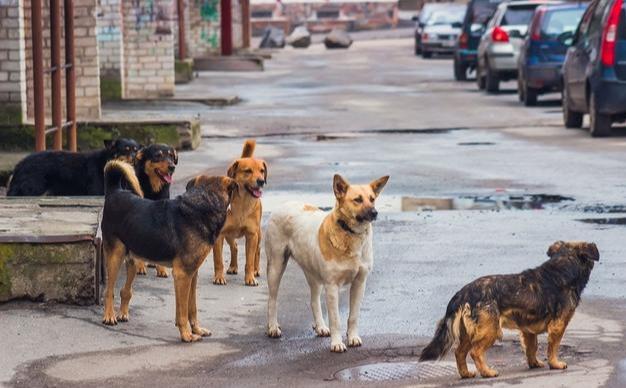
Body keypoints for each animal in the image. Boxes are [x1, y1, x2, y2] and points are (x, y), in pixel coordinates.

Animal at [7, 137, 139, 197]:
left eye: (135, 150)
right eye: (125, 150)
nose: (134, 159)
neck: (105, 161)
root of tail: (20, 165)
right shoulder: (96, 192)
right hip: (33, 189)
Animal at [100, 159, 236, 342]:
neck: (203, 204)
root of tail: (115, 191)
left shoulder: (192, 274)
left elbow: (191, 308)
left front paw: (197, 329)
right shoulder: (182, 275)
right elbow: (183, 312)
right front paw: (186, 335)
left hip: (133, 260)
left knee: (125, 290)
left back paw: (122, 313)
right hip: (115, 256)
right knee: (109, 291)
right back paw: (109, 316)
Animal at [132, 144, 178, 278]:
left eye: (171, 156)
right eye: (158, 155)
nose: (172, 167)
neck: (153, 189)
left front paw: (161, 269)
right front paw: (140, 266)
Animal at [212, 139, 266, 284]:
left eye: (262, 171)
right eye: (248, 171)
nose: (261, 181)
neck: (243, 203)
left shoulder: (252, 235)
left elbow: (249, 260)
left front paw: (250, 278)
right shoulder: (219, 235)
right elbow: (218, 260)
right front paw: (219, 277)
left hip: (258, 234)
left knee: (258, 251)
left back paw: (256, 270)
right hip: (229, 234)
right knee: (234, 246)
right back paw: (233, 267)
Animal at [264, 174, 390, 350]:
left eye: (372, 199)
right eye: (357, 200)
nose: (374, 212)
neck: (350, 233)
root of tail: (283, 204)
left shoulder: (360, 283)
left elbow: (353, 316)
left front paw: (352, 337)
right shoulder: (332, 286)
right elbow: (335, 319)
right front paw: (337, 343)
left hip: (313, 275)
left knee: (314, 301)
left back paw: (321, 327)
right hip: (276, 266)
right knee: (272, 300)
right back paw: (273, 327)